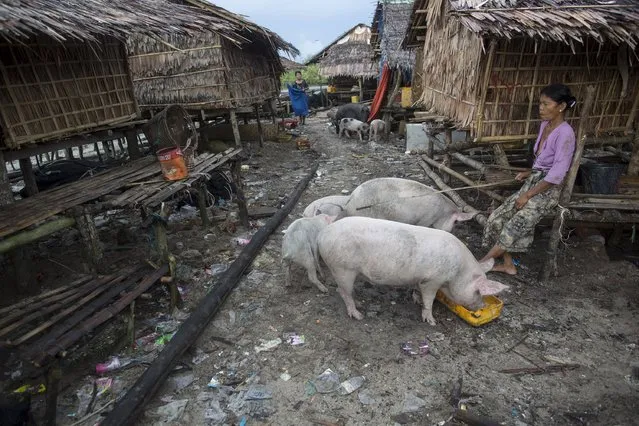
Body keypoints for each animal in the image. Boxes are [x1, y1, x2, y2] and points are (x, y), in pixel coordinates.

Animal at [320, 218, 510, 324]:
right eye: (479, 292)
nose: (482, 306)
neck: (458, 273)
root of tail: (323, 234)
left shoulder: (421, 279)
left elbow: (418, 291)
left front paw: (417, 300)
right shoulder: (432, 281)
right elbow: (429, 299)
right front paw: (431, 322)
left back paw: (359, 304)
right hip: (342, 268)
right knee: (343, 292)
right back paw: (358, 315)